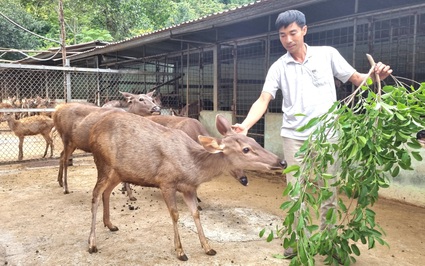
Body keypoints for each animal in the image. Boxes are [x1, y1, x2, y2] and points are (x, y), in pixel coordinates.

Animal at [85, 113, 284, 260]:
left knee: (106, 192)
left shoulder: (189, 188)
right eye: (245, 149)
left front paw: (208, 247)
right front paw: (180, 251)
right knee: (95, 195)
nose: (281, 162)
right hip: (102, 163)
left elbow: (196, 213)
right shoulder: (166, 181)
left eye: (254, 141)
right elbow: (175, 214)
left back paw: (110, 225)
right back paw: (92, 243)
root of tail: (93, 131)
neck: (192, 167)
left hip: (118, 172)